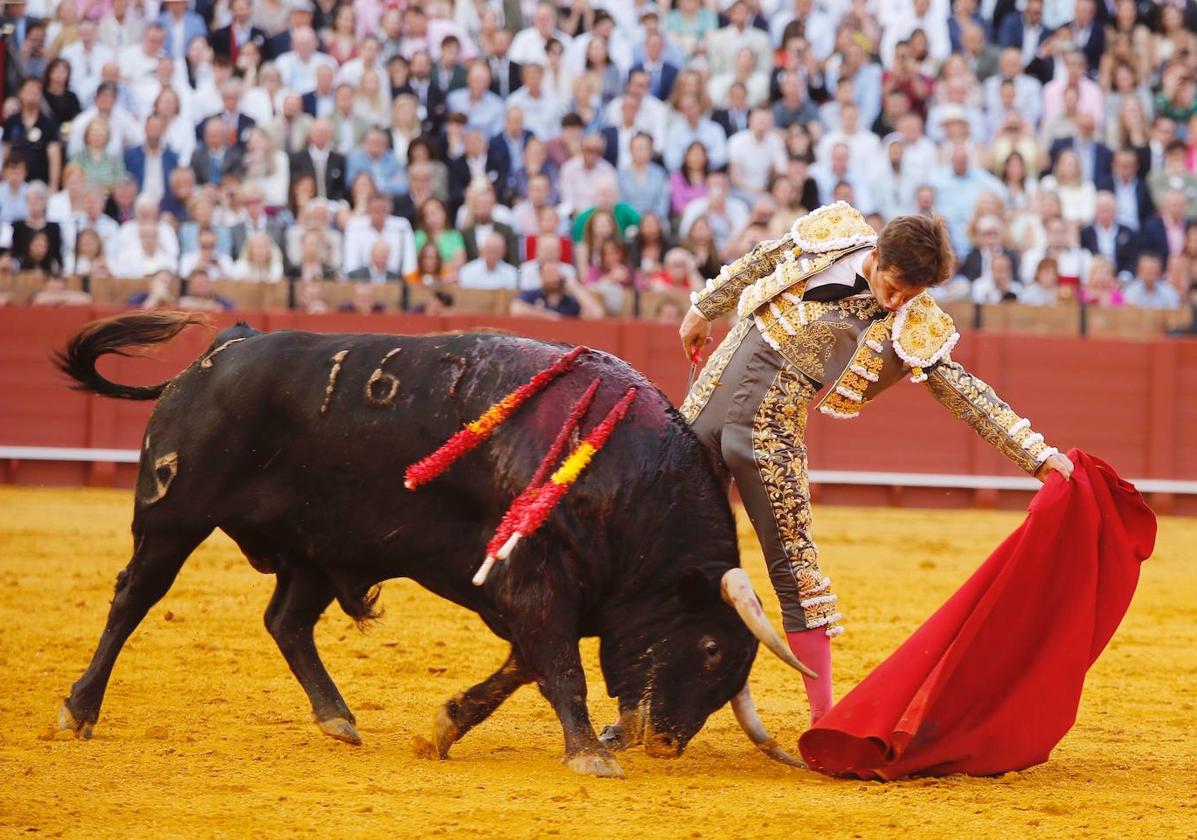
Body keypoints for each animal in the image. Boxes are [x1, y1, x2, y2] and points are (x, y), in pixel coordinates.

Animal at [51, 313, 809, 780]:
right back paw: (78, 711)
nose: (664, 743)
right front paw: (590, 754)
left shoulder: (532, 593)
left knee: (286, 621)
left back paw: (337, 719)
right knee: (133, 598)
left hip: (320, 545)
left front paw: (444, 728)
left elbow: (523, 666)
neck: (625, 475)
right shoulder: (535, 581)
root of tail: (223, 350)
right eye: (709, 649)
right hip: (174, 515)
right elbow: (558, 667)